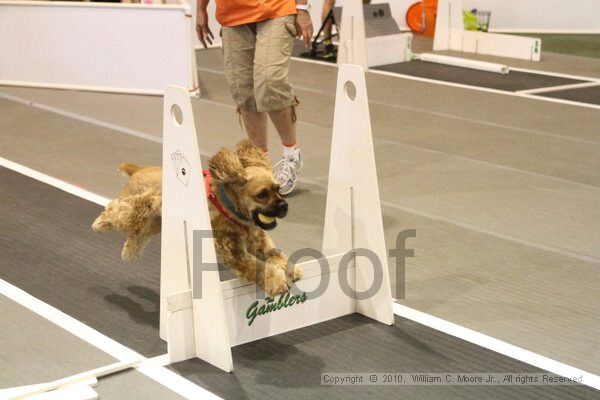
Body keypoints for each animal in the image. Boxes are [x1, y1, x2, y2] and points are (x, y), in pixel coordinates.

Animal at [90, 139, 300, 296]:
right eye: (262, 194)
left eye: (278, 189)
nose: (284, 205)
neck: (228, 206)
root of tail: (138, 169)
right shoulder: (234, 253)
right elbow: (259, 268)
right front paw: (276, 282)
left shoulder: (259, 240)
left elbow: (275, 254)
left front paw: (291, 269)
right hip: (135, 211)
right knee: (115, 210)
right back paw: (100, 223)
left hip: (154, 222)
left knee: (138, 235)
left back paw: (130, 252)